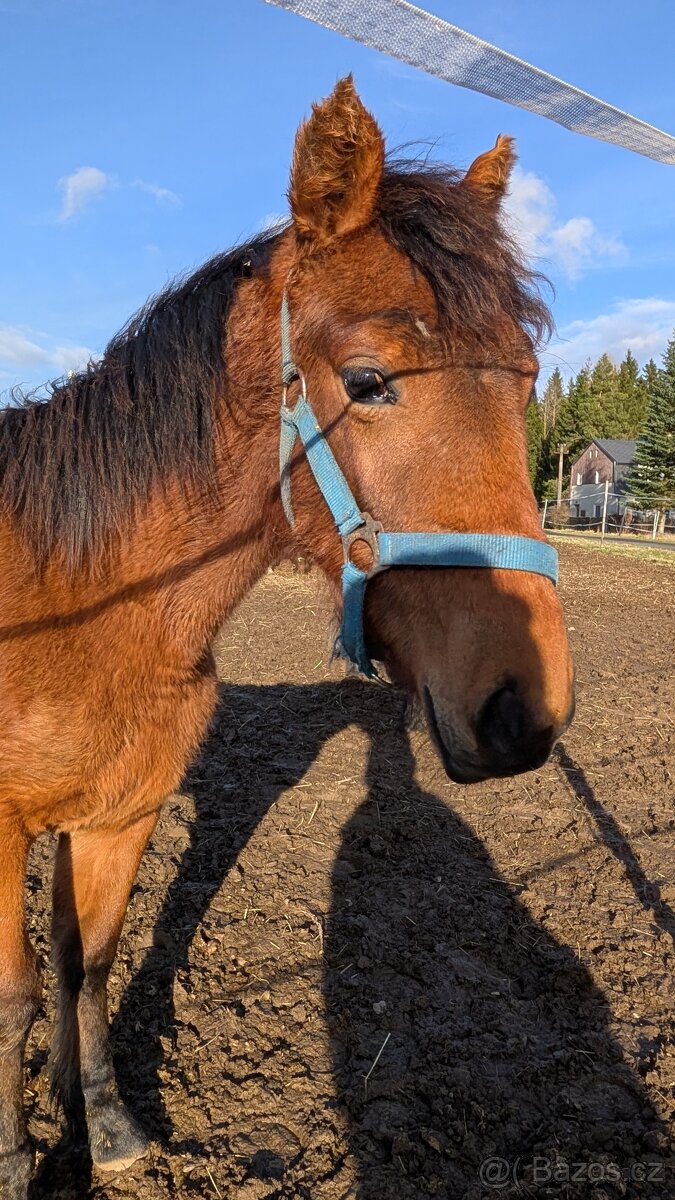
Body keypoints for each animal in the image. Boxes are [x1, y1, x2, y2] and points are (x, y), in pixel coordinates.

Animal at [0, 77, 574, 1197]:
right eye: (367, 380)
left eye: (526, 377)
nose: (521, 709)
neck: (83, 609)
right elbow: (13, 1002)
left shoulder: (121, 816)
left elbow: (89, 963)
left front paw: (106, 1125)